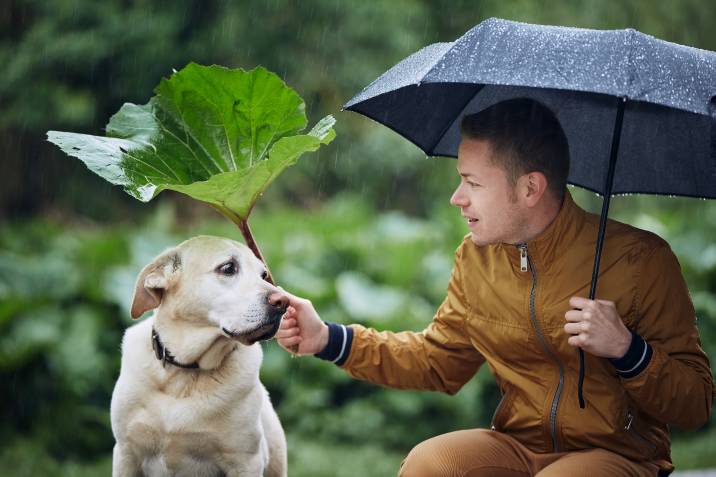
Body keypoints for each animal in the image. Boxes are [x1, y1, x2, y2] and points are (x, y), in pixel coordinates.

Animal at [110, 235, 286, 476]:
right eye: (228, 268)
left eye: (263, 275)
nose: (284, 302)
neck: (184, 373)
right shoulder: (126, 453)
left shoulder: (246, 461)